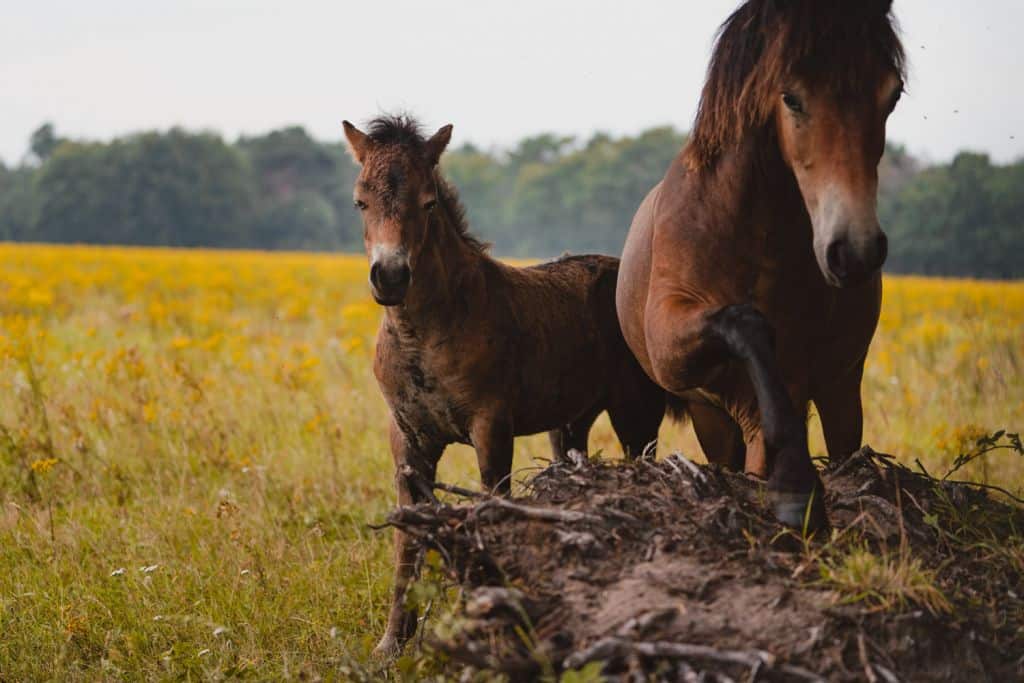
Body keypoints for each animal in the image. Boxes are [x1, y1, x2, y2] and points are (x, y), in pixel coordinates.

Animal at [342, 115, 668, 656]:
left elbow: (491, 512)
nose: (389, 276)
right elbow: (406, 536)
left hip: (638, 414)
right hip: (570, 423)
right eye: (360, 202)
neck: (423, 333)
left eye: (428, 202)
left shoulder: (491, 427)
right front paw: (391, 645)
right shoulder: (406, 436)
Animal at [617, 0, 905, 529]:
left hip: (840, 387)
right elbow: (746, 324)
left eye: (891, 95)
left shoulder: (804, 373)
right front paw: (795, 485)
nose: (854, 250)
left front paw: (796, 487)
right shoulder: (670, 339)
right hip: (710, 416)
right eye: (791, 98)